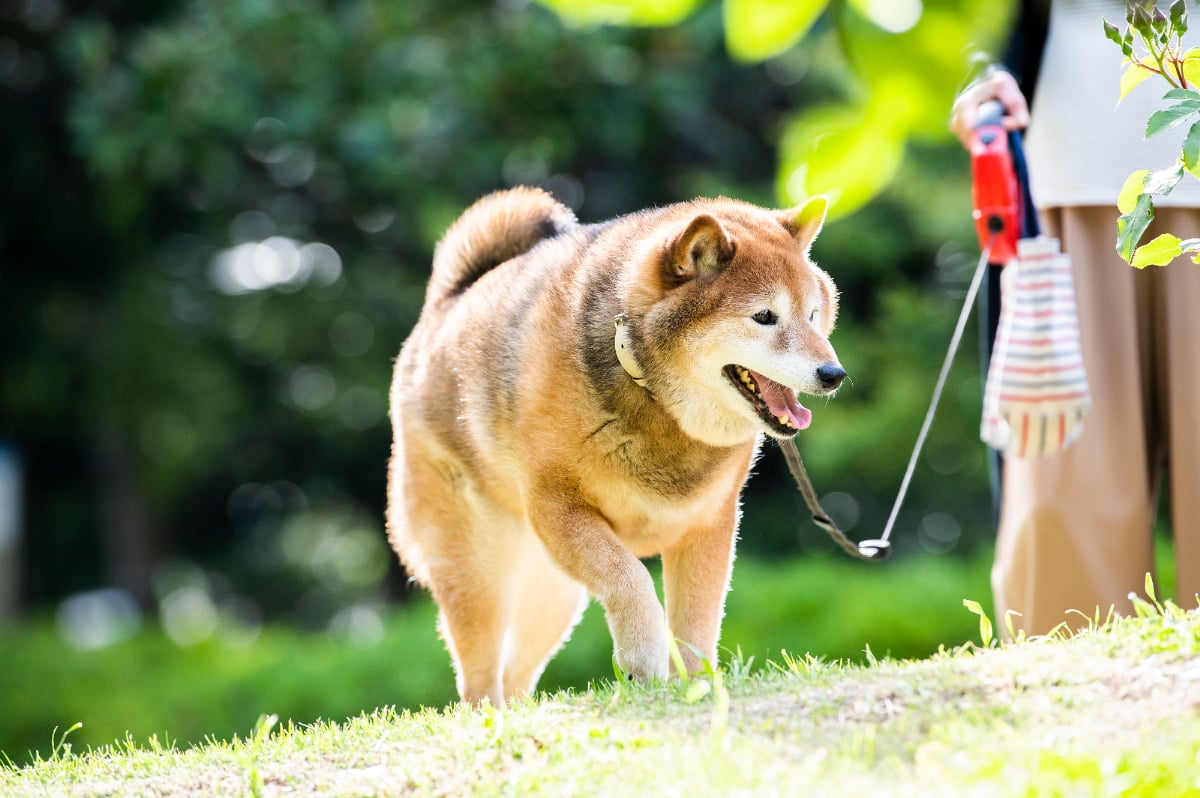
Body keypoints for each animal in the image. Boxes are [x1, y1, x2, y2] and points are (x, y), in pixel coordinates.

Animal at [386, 188, 844, 705]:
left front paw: (696, 687)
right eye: (765, 317)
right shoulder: (559, 508)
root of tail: (443, 308)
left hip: (552, 597)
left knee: (516, 673)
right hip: (479, 571)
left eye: (813, 315)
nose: (833, 374)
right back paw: (491, 713)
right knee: (479, 674)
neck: (648, 389)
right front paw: (644, 662)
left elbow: (697, 620)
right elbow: (631, 578)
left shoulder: (710, 523)